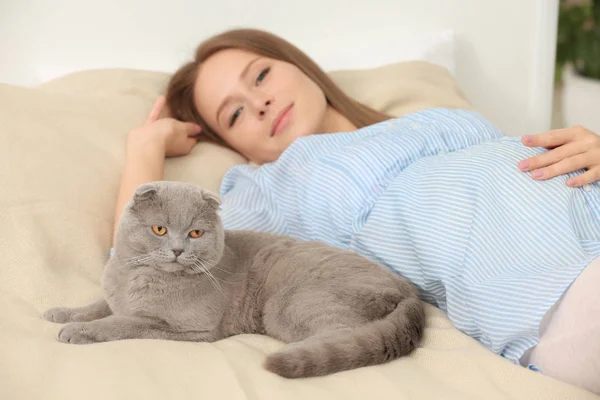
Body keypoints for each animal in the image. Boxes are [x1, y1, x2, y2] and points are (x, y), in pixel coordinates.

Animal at [43, 181, 426, 378]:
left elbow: (120, 322)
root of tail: (409, 290)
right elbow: (100, 305)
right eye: (160, 229)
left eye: (196, 232)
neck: (135, 275)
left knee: (343, 335)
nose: (179, 250)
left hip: (288, 305)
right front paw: (61, 313)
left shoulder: (184, 328)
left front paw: (76, 331)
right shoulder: (115, 294)